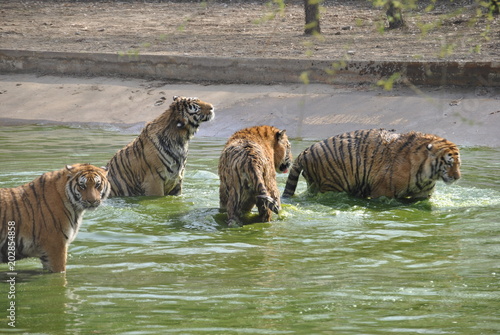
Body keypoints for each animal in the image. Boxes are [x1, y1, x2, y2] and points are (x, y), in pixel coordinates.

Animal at [284, 129, 462, 201]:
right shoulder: (382, 192)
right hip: (332, 185)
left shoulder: (423, 195)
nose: (457, 177)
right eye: (449, 163)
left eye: (458, 164)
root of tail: (305, 151)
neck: (427, 175)